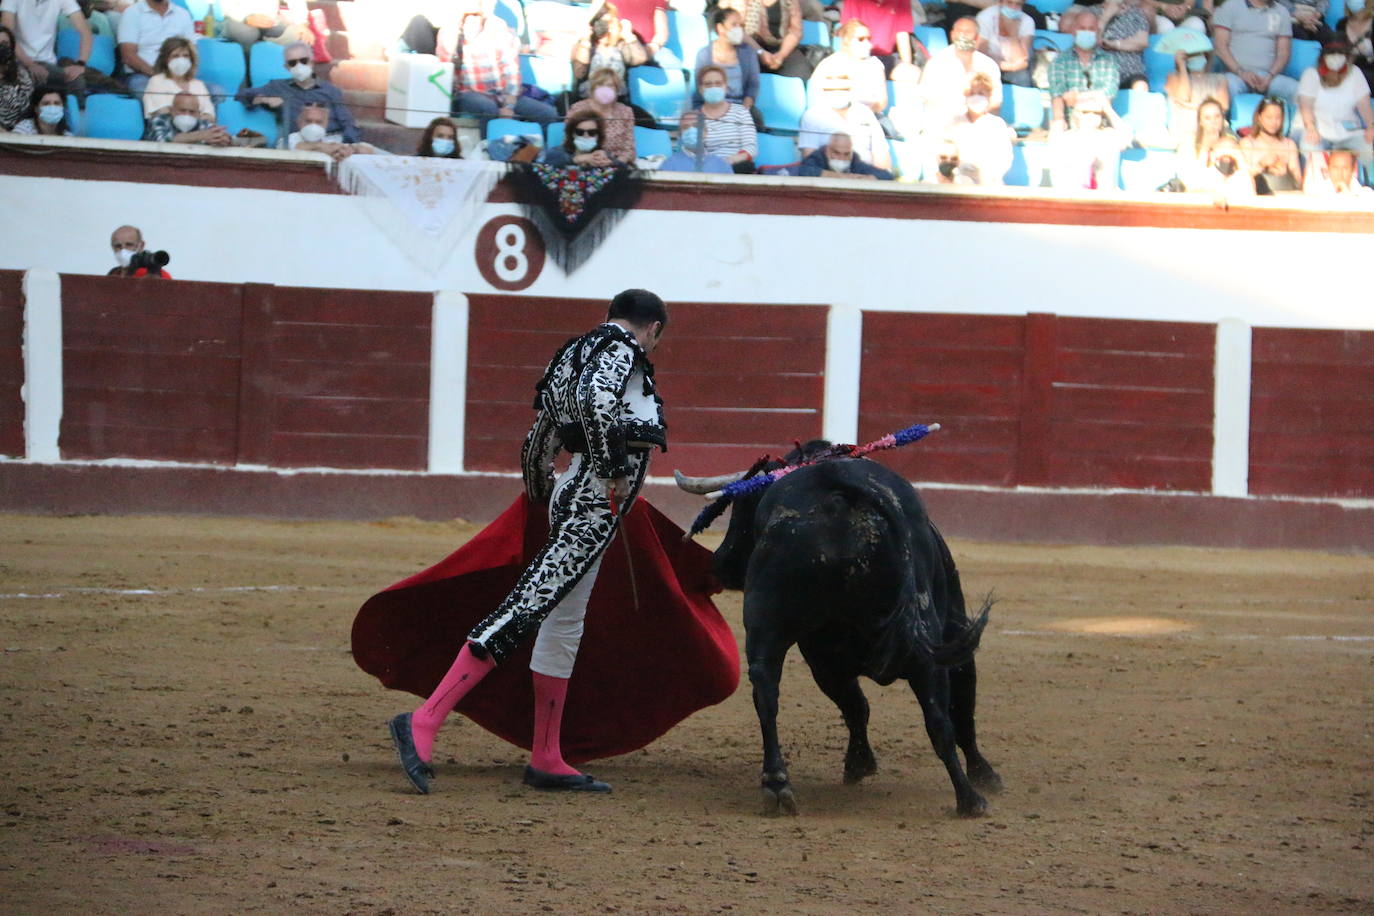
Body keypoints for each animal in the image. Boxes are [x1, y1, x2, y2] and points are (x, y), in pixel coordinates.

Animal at [681, 450, 1005, 818]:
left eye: (744, 508)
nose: (719, 563)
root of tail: (837, 490)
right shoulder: (953, 630)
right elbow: (961, 708)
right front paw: (984, 773)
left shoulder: (824, 658)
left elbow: (857, 706)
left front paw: (858, 763)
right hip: (912, 648)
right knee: (939, 718)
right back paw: (970, 799)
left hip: (770, 625)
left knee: (766, 691)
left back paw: (777, 784)